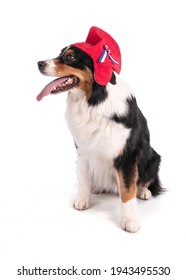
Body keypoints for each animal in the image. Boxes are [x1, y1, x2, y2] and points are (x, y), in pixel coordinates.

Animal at [36, 26, 163, 232]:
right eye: (60, 53)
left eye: (70, 57)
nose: (39, 63)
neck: (93, 100)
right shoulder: (82, 147)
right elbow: (83, 176)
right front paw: (82, 199)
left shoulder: (127, 154)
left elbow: (128, 190)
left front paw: (130, 220)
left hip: (153, 156)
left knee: (147, 180)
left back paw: (144, 191)